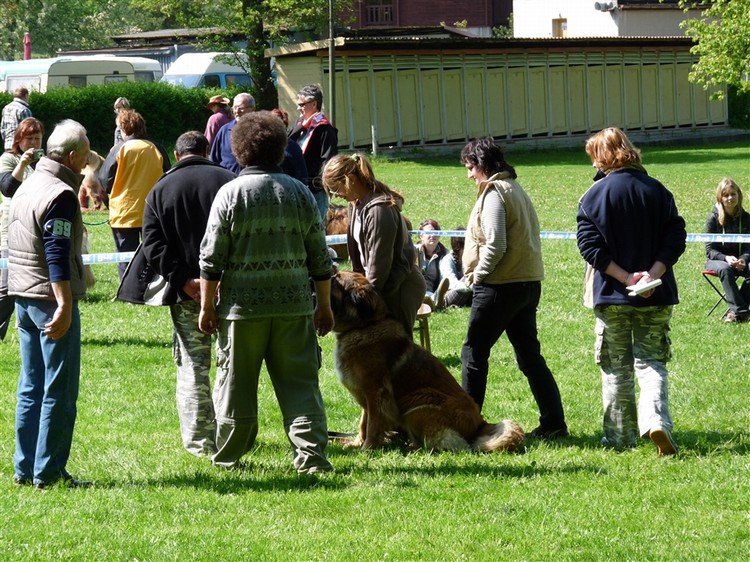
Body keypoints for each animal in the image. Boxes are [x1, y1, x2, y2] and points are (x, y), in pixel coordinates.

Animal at [332, 270, 524, 450]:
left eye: (337, 279)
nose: (327, 275)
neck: (365, 326)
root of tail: (481, 422)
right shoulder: (365, 395)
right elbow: (363, 422)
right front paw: (357, 443)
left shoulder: (375, 391)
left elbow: (372, 424)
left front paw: (368, 448)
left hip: (418, 400)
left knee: (435, 442)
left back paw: (411, 447)